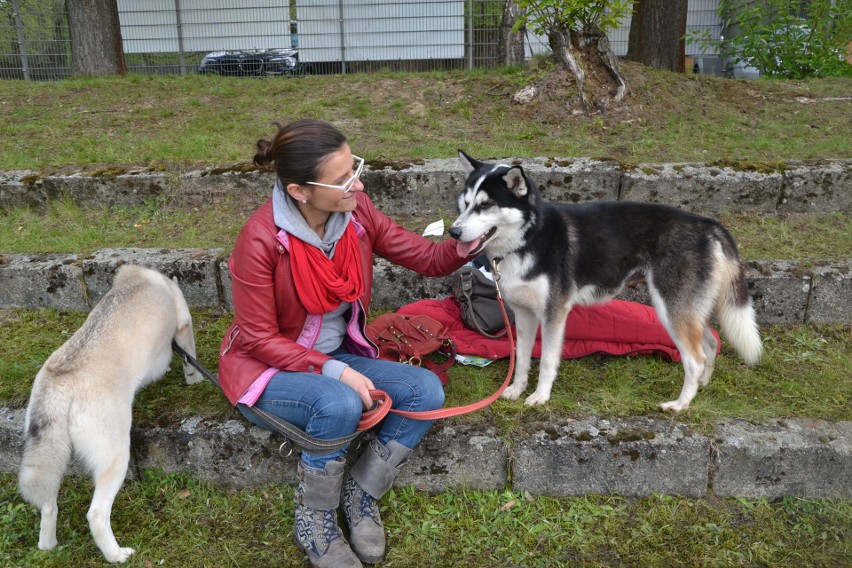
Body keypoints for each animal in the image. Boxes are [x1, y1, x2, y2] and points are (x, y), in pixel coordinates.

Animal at [19, 262, 202, 564]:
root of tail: (61, 384)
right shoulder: (183, 324)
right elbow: (190, 358)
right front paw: (194, 379)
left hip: (50, 459)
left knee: (48, 507)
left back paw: (49, 545)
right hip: (116, 457)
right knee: (96, 514)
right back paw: (117, 555)